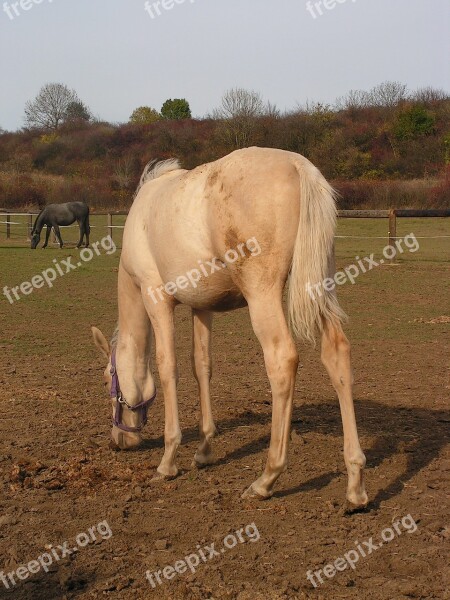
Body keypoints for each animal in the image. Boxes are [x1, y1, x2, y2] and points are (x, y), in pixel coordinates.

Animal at [92, 146, 370, 506]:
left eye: (108, 380)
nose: (119, 441)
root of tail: (298, 166)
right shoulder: (201, 306)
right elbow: (201, 366)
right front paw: (204, 449)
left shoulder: (157, 300)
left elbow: (168, 368)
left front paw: (167, 461)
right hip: (317, 285)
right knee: (336, 353)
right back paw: (355, 482)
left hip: (263, 294)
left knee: (282, 360)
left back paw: (267, 478)